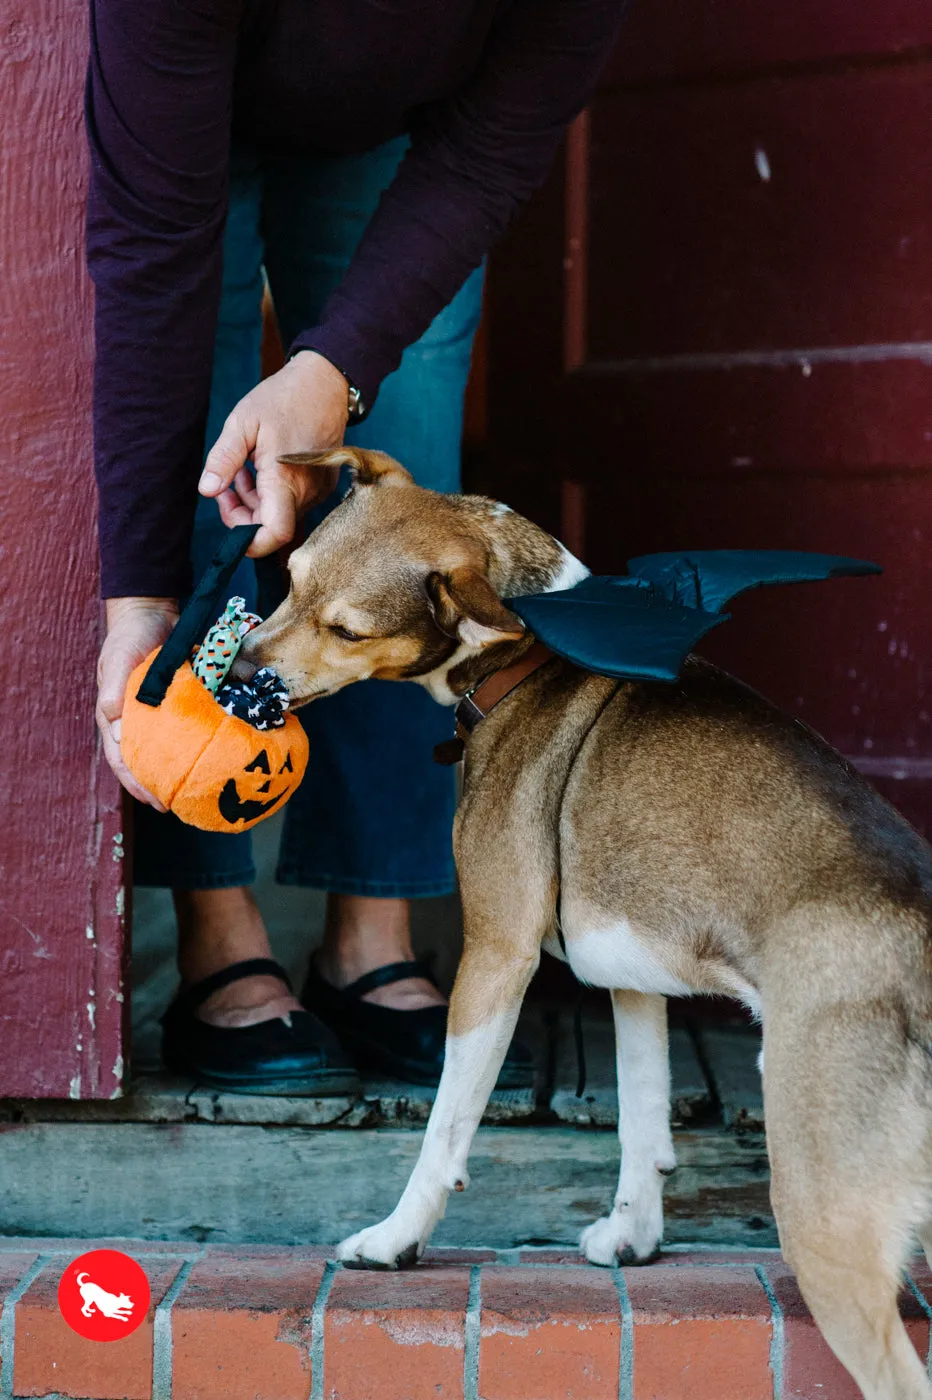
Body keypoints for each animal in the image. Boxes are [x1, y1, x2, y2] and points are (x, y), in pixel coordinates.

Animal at [243, 450, 929, 1400]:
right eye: (290, 576)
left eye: (346, 631)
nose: (238, 676)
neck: (529, 649)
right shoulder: (633, 977)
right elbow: (642, 1116)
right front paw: (631, 1239)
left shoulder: (496, 957)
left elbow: (446, 1125)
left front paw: (394, 1240)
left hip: (827, 1216)